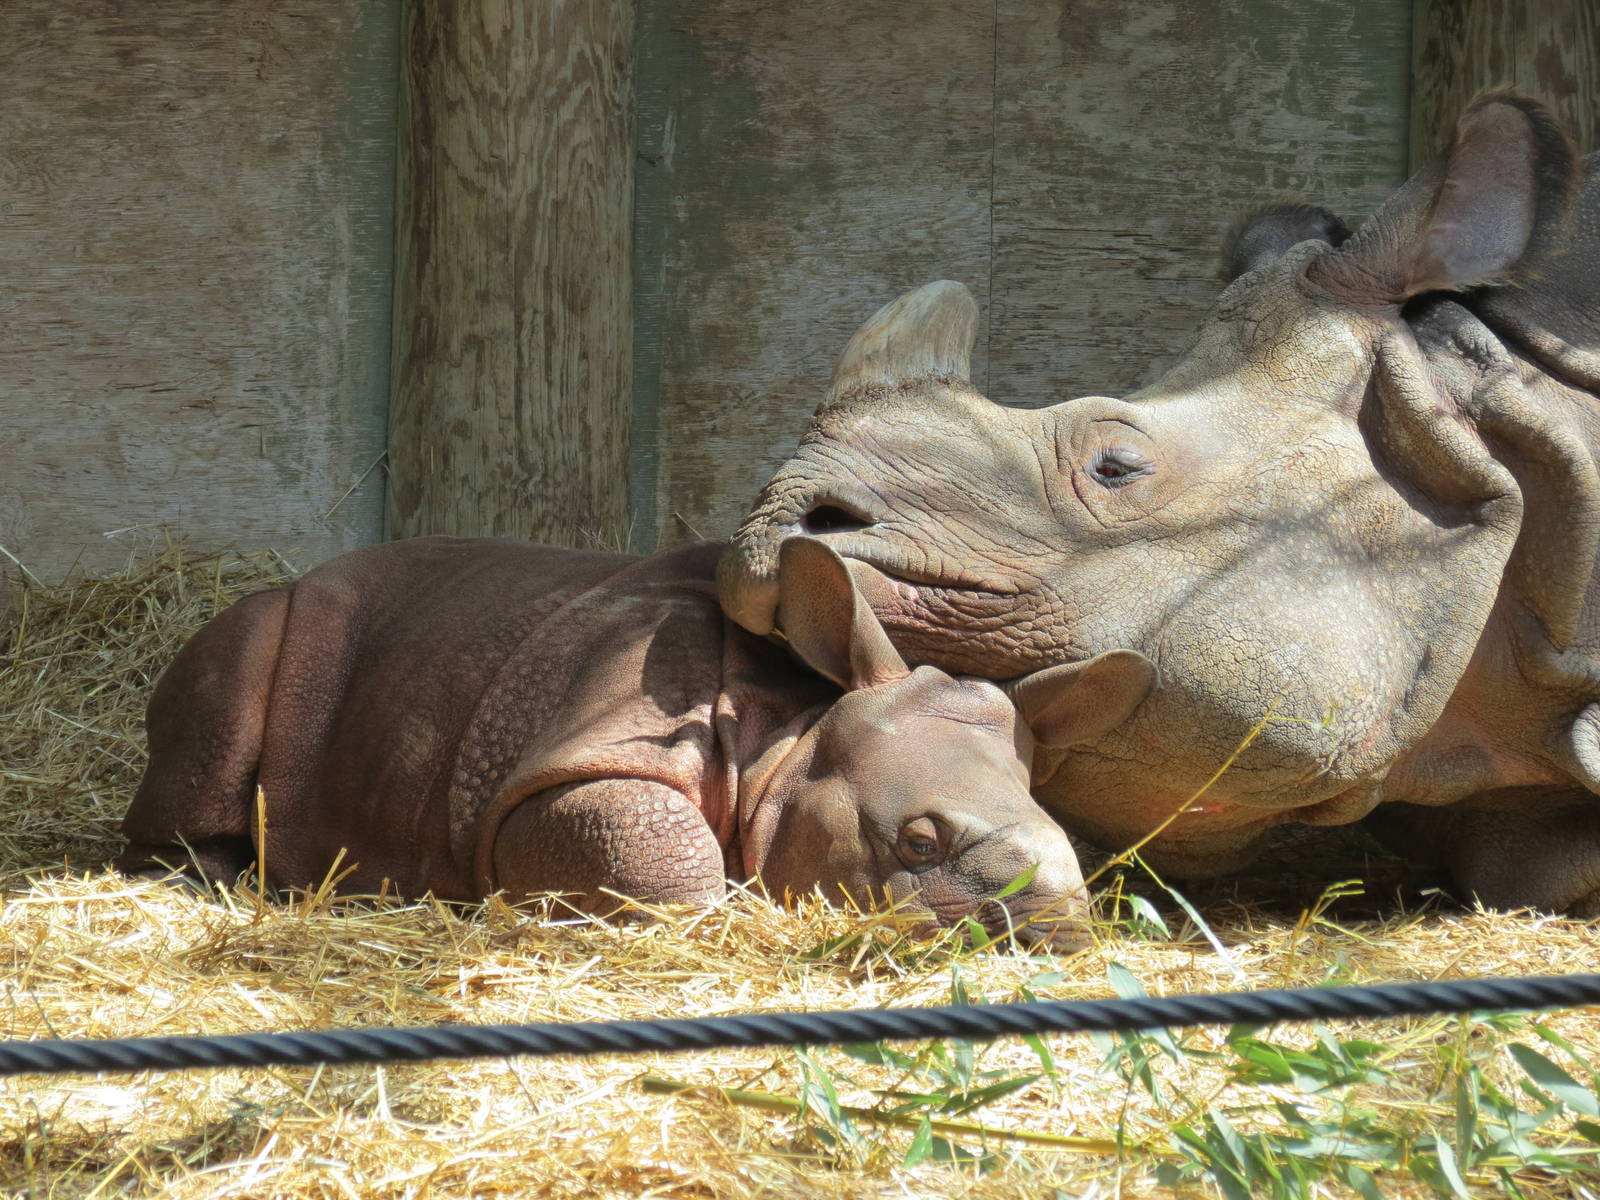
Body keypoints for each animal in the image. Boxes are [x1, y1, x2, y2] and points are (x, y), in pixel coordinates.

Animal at [119, 535, 1153, 950]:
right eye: (919, 841)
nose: (1058, 931)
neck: (789, 731)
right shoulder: (575, 761)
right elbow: (657, 849)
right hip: (284, 619)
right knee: (239, 660)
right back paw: (208, 876)